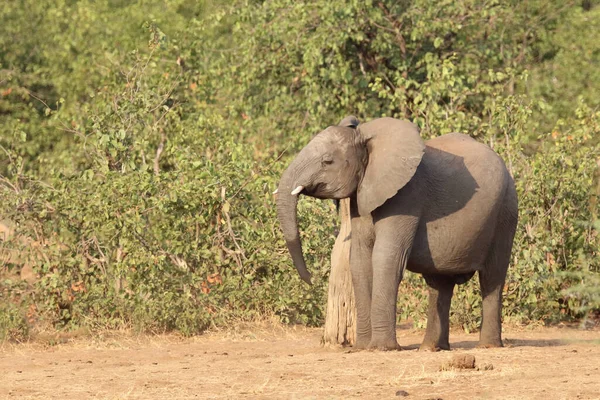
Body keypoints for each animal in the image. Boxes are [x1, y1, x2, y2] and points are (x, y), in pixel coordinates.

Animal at [274, 115, 516, 350]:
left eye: (327, 161)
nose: (312, 280)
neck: (366, 137)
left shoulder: (407, 195)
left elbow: (386, 258)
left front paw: (382, 348)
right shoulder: (361, 196)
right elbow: (360, 260)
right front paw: (362, 348)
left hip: (505, 211)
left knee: (492, 277)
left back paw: (488, 346)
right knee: (439, 284)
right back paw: (430, 348)